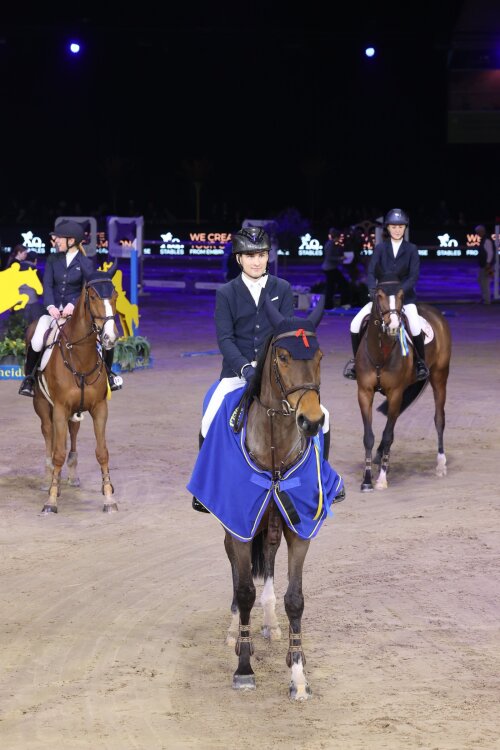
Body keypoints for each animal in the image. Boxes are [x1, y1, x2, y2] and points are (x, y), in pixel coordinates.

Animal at [28, 263, 119, 513]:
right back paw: (49, 478)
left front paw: (109, 498)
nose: (109, 337)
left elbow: (103, 452)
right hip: (42, 406)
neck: (80, 356)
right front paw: (51, 500)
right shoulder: (59, 408)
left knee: (73, 432)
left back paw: (71, 476)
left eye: (115, 296)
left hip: (74, 412)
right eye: (94, 296)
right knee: (49, 435)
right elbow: (57, 452)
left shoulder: (100, 408)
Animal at [188, 297, 344, 700]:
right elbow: (244, 591)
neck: (273, 449)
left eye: (319, 355)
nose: (311, 421)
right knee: (234, 568)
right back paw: (235, 632)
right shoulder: (239, 521)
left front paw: (298, 674)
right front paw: (244, 668)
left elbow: (295, 599)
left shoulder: (300, 528)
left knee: (271, 556)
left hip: (273, 519)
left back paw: (272, 624)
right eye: (284, 357)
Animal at [355, 280, 452, 491]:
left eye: (400, 296)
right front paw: (367, 480)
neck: (381, 352)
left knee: (439, 419)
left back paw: (441, 465)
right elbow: (369, 436)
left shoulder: (395, 393)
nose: (393, 325)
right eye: (379, 296)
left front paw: (381, 479)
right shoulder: (364, 392)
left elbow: (388, 434)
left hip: (439, 376)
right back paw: (380, 455)